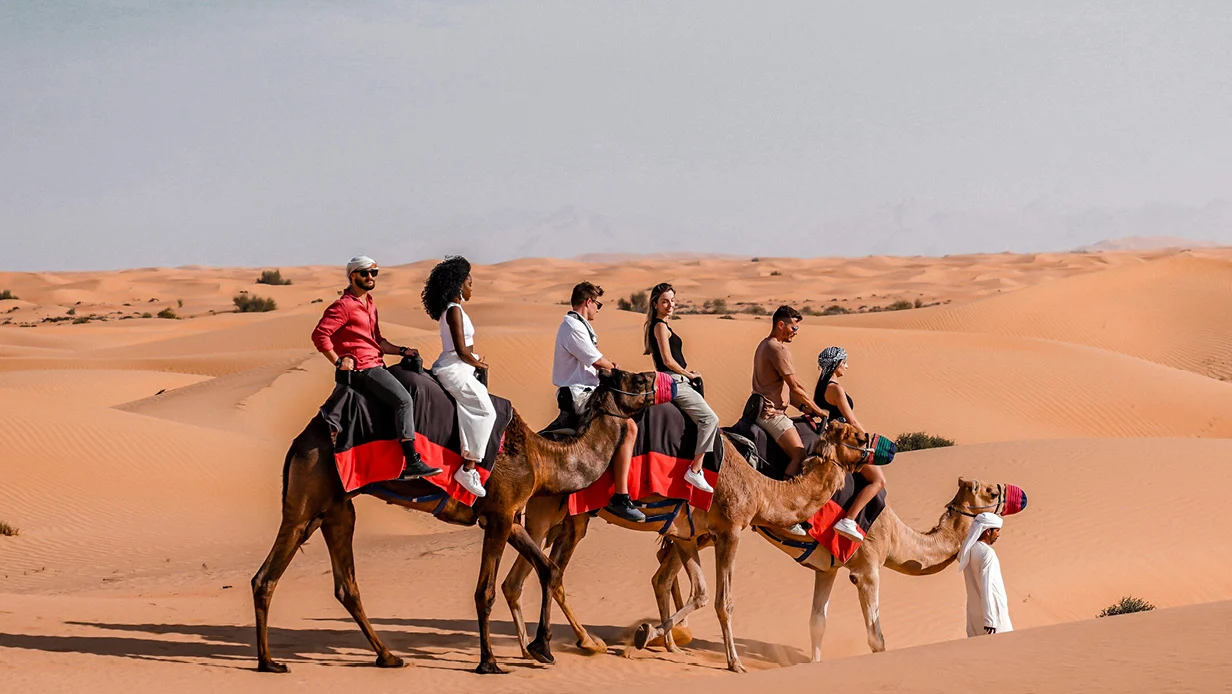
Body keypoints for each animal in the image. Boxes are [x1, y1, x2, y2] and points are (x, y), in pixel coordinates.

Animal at [250, 368, 658, 675]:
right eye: (636, 380)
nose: (657, 377)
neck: (542, 459)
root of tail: (301, 439)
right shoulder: (500, 515)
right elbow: (485, 591)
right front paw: (489, 662)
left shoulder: (509, 517)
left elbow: (548, 569)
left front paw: (544, 648)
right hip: (310, 495)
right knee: (268, 576)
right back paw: (270, 662)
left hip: (336, 509)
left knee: (341, 585)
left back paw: (387, 656)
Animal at [501, 419, 870, 673]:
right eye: (851, 434)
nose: (869, 441)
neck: (760, 488)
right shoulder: (730, 531)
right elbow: (724, 601)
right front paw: (735, 663)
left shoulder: (688, 536)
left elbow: (701, 593)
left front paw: (646, 635)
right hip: (553, 513)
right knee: (546, 574)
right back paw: (573, 644)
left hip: (559, 518)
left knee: (523, 579)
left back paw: (536, 649)